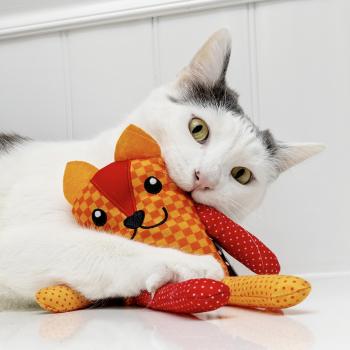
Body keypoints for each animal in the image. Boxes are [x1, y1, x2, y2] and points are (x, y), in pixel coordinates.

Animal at [0, 30, 322, 308]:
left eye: (241, 175)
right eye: (198, 128)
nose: (203, 177)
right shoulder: (18, 238)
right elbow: (98, 246)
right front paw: (187, 264)